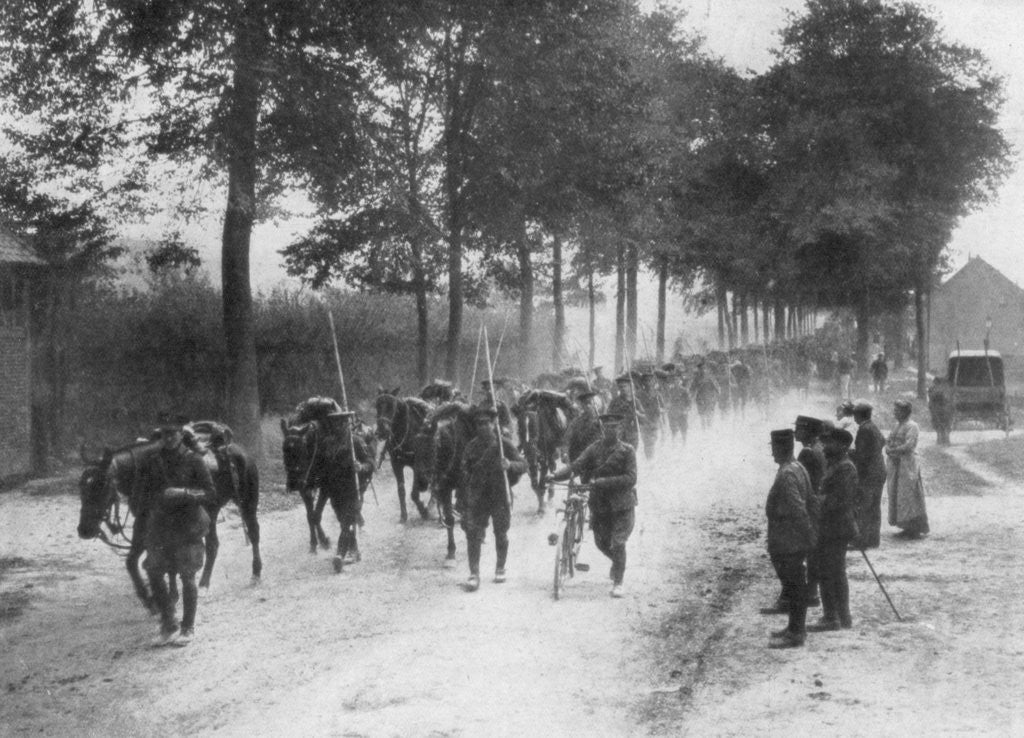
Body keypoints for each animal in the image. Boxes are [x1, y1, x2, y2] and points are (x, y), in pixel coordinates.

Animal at [78, 423, 262, 614]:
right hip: (212, 511)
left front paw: (165, 598)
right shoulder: (143, 524)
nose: (84, 530)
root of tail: (238, 450)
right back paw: (203, 584)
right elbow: (134, 561)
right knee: (213, 545)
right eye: (81, 486)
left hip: (248, 503)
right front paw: (154, 598)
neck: (143, 471)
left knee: (253, 533)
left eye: (103, 486)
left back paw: (254, 574)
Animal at [372, 388, 432, 522]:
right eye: (377, 405)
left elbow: (414, 493)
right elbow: (401, 490)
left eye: (391, 406)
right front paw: (403, 515)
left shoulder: (417, 464)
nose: (382, 431)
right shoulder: (396, 464)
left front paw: (423, 511)